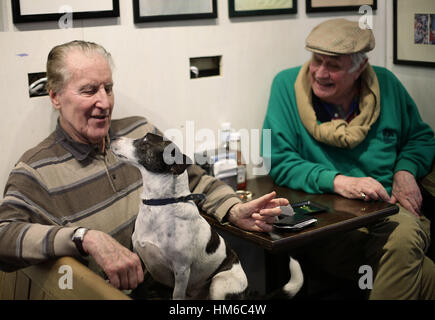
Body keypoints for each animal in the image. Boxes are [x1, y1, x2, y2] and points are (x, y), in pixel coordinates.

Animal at [111, 132, 304, 300]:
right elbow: (138, 287)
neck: (161, 203)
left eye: (145, 142)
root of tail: (247, 292)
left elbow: (177, 295)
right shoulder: (138, 260)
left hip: (218, 284)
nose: (112, 137)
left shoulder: (181, 271)